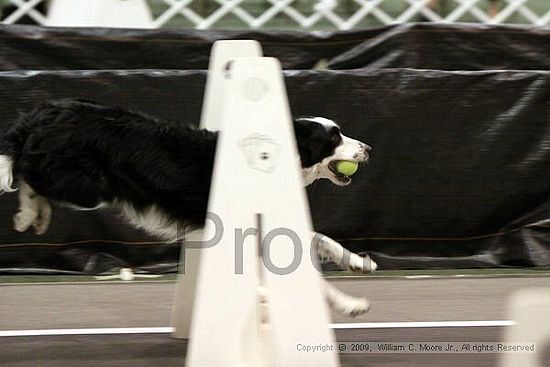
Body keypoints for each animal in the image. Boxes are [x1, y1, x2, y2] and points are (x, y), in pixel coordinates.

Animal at [0, 100, 378, 316]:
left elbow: (319, 238)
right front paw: (348, 303)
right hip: (85, 185)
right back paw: (28, 213)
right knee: (23, 168)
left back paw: (32, 217)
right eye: (333, 139)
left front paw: (358, 263)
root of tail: (44, 113)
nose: (369, 148)